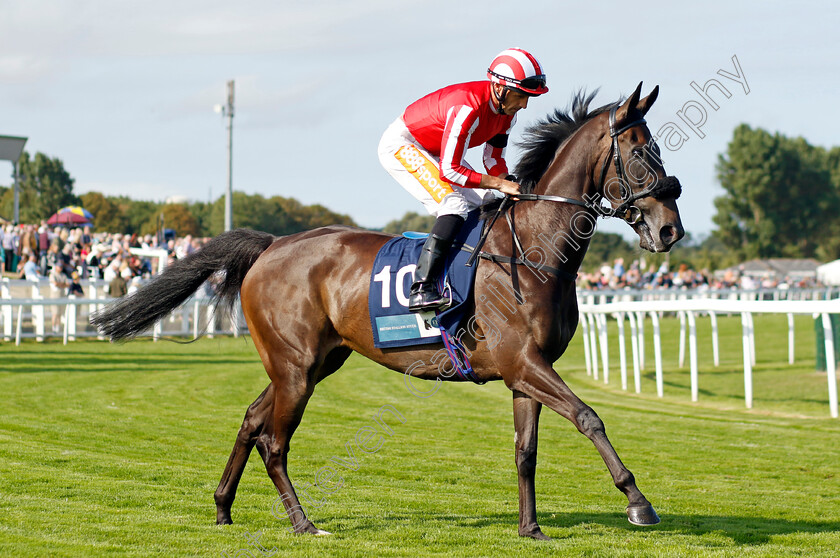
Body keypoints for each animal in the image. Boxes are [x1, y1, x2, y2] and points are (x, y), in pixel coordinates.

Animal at [92, 84, 684, 544]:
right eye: (640, 155)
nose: (670, 230)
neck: (532, 249)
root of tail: (271, 245)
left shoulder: (526, 372)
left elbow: (526, 451)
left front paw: (530, 529)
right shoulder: (524, 362)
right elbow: (589, 417)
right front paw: (638, 502)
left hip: (311, 363)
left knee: (251, 420)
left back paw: (222, 507)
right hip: (296, 367)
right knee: (274, 442)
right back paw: (304, 524)